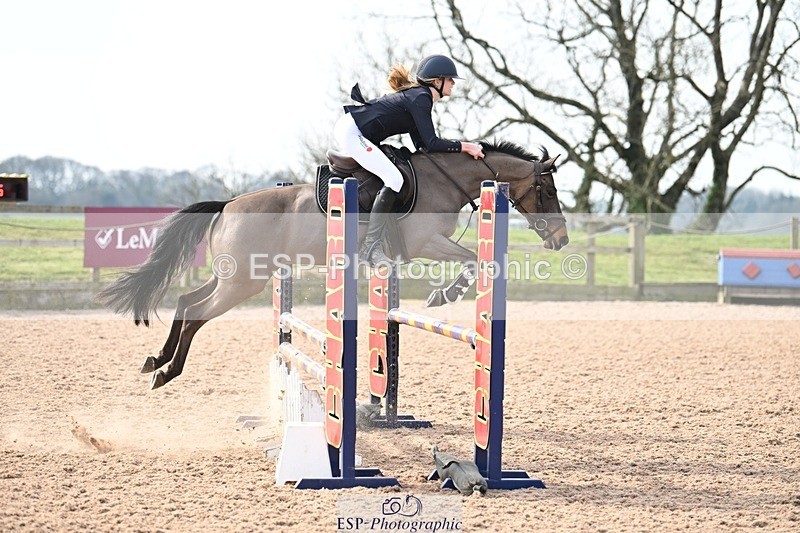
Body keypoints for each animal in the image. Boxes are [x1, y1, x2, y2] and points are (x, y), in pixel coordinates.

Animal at [97, 140, 569, 390]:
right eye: (547, 191)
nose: (561, 239)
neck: (446, 180)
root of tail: (228, 203)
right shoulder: (427, 243)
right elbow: (471, 261)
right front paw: (445, 294)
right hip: (244, 283)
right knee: (196, 312)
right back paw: (168, 371)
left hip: (234, 276)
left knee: (185, 300)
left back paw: (156, 359)